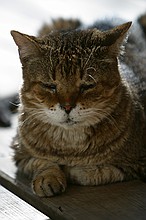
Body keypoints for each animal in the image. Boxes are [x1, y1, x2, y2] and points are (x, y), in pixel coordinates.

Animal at [10, 16, 146, 197]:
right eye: (49, 86)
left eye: (87, 86)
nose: (67, 107)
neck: (70, 147)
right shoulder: (19, 152)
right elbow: (42, 162)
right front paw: (48, 177)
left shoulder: (138, 164)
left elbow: (94, 173)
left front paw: (73, 170)